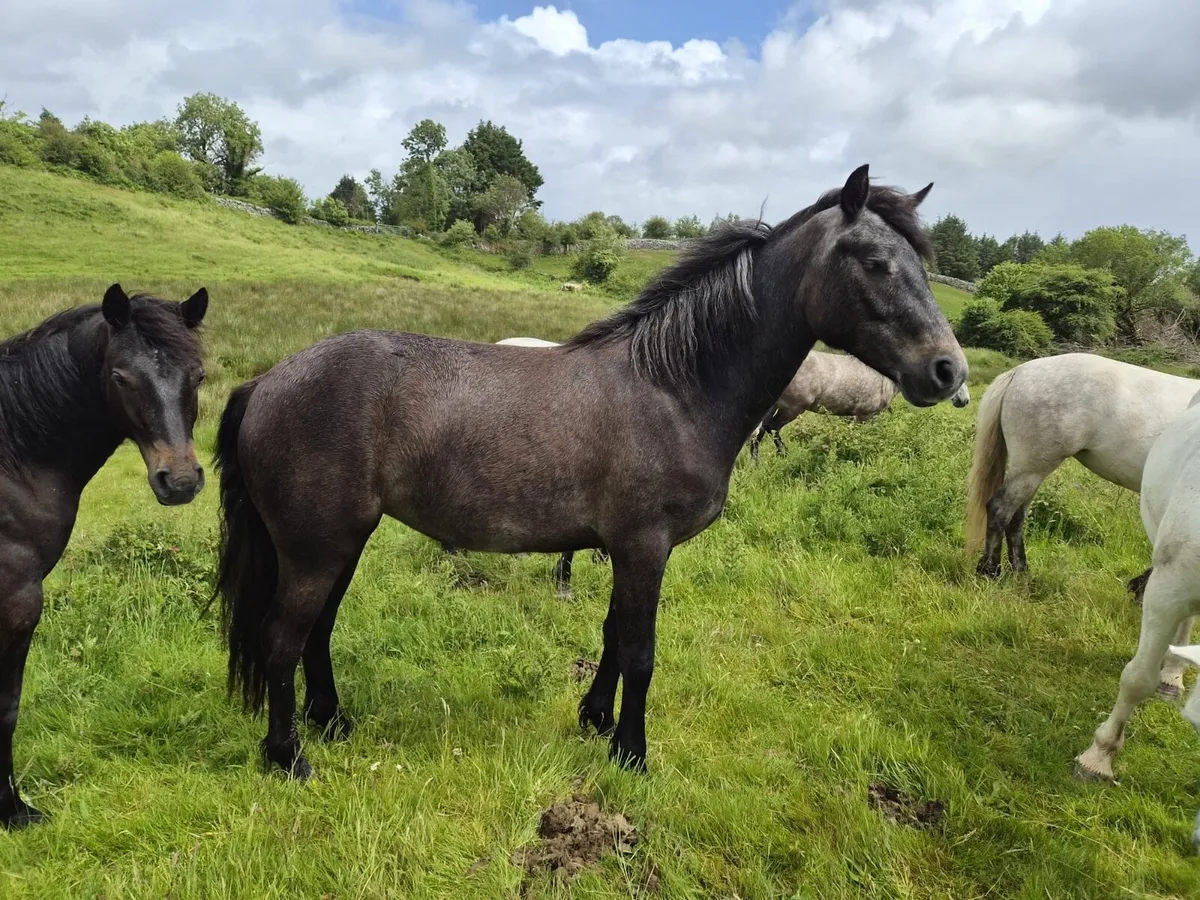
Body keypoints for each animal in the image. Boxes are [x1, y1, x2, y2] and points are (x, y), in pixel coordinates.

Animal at [0, 284, 209, 830]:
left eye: (198, 376)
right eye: (120, 377)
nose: (180, 480)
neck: (13, 457)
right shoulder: (17, 600)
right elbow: (6, 705)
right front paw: (13, 811)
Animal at [747, 349, 970, 461]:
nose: (965, 400)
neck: (884, 378)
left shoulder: (859, 416)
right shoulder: (864, 416)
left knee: (761, 431)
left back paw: (756, 461)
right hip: (792, 407)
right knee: (772, 428)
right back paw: (783, 454)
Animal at [966, 353, 1200, 579]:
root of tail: (1020, 371)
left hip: (1031, 473)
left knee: (1016, 518)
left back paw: (1021, 572)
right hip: (1030, 470)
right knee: (1000, 510)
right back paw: (990, 572)